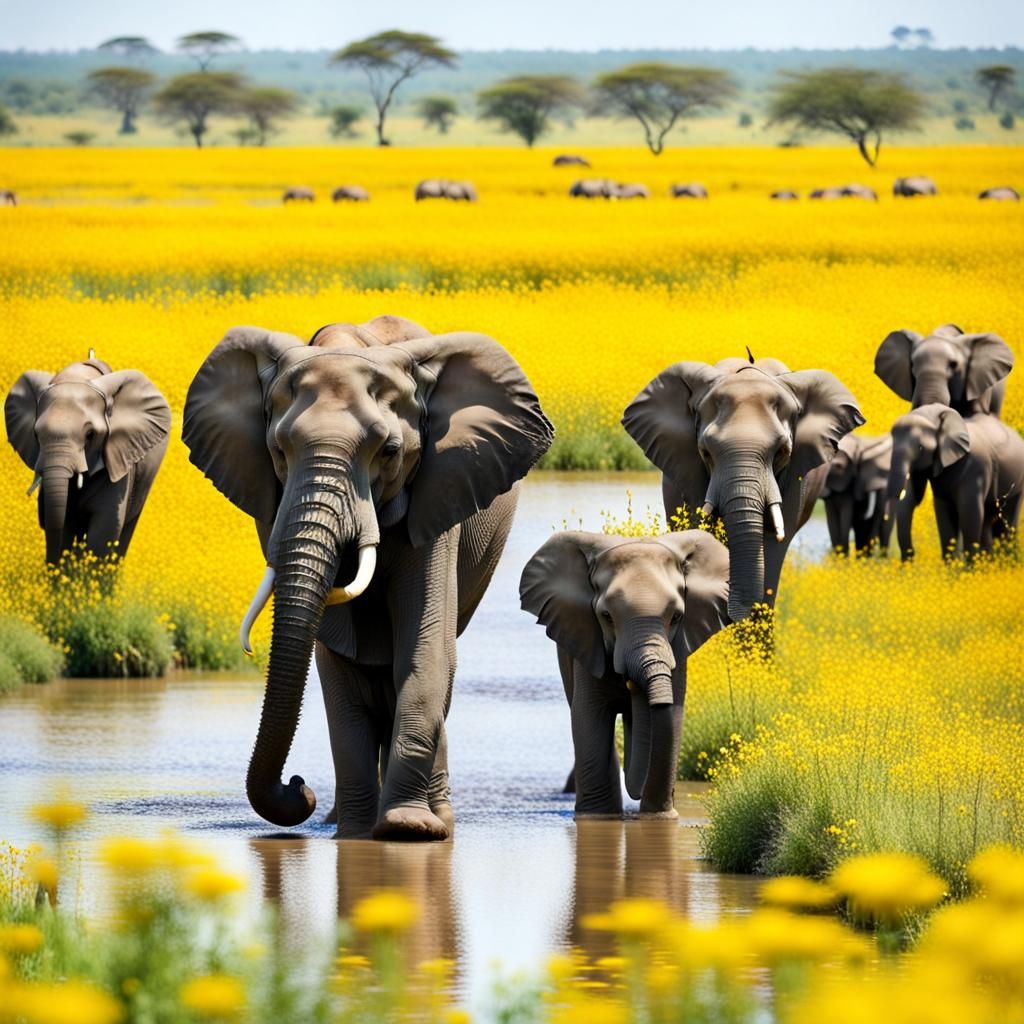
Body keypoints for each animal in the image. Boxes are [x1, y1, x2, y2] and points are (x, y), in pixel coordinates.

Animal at [182, 315, 553, 841]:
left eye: (390, 451)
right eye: (278, 451)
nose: (299, 787)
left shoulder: (437, 498)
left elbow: (425, 650)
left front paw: (407, 829)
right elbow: (339, 665)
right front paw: (355, 836)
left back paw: (434, 821)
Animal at [520, 531, 729, 817]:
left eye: (676, 616)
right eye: (606, 616)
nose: (635, 790)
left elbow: (673, 716)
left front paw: (659, 818)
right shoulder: (586, 641)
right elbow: (590, 716)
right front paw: (598, 817)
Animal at [886, 405, 1024, 561]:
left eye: (920, 448)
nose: (910, 556)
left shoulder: (975, 467)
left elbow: (969, 511)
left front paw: (969, 566)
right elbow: (943, 511)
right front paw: (952, 566)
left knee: (1008, 520)